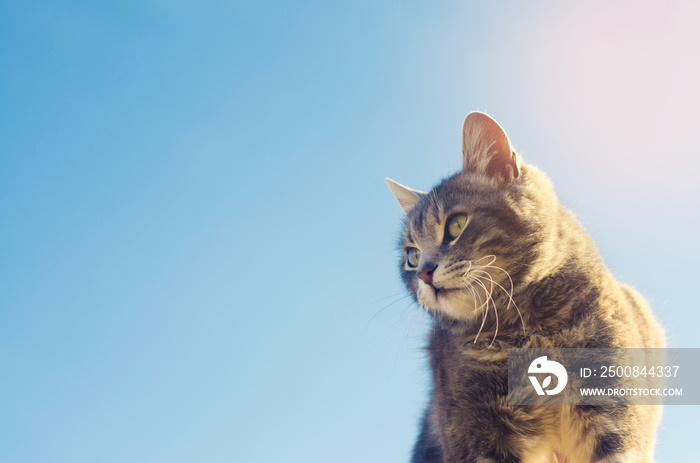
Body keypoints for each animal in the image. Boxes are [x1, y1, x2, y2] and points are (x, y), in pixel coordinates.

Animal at [386, 112, 664, 463]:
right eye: (411, 256)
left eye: (456, 225)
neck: (525, 327)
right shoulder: (475, 431)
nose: (423, 272)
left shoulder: (612, 411)